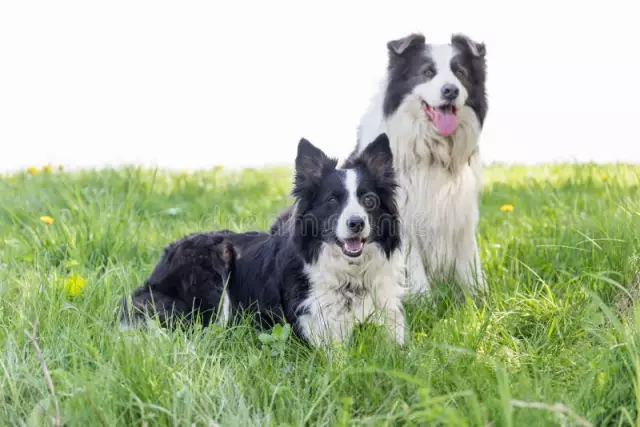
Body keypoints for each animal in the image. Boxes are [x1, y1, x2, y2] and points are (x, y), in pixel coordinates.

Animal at [120, 134, 404, 348]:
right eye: (332, 200)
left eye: (369, 200)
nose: (356, 223)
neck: (351, 277)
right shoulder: (316, 329)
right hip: (215, 268)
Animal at [352, 33, 488, 298]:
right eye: (427, 72)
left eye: (460, 72)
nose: (451, 90)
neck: (432, 149)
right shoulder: (403, 215)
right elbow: (412, 263)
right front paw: (424, 298)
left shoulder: (461, 213)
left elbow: (469, 261)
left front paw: (478, 296)